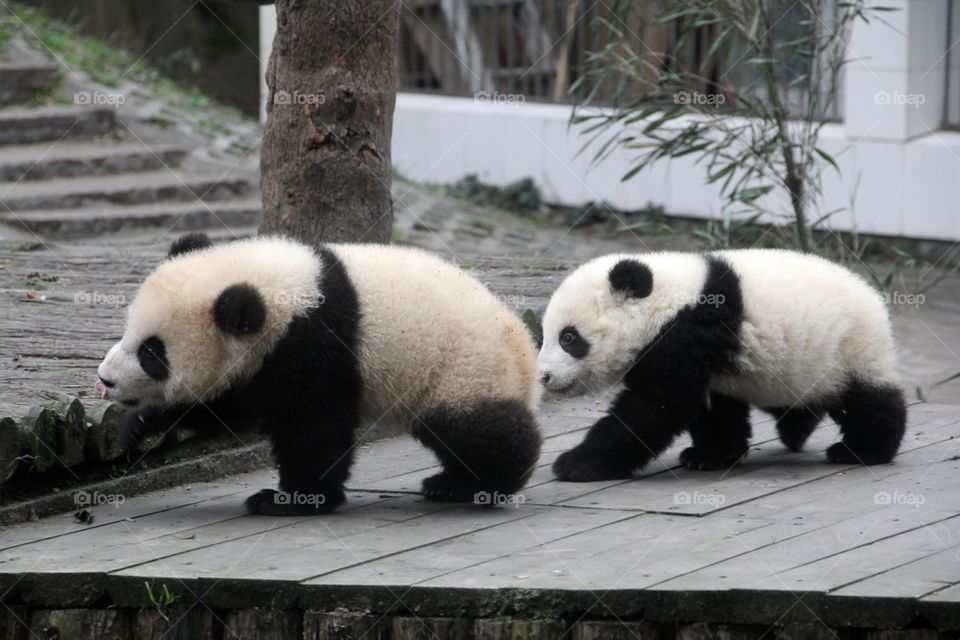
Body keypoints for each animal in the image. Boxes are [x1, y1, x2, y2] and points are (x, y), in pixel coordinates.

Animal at [96, 232, 542, 515]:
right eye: (129, 331)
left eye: (152, 353)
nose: (105, 379)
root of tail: (525, 348)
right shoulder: (260, 362)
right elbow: (228, 406)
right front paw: (140, 427)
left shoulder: (313, 343)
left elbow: (313, 428)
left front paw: (288, 501)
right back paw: (448, 481)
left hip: (464, 369)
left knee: (475, 429)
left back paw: (478, 485)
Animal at [537, 249, 906, 482]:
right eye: (546, 335)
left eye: (569, 338)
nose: (544, 376)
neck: (664, 302)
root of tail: (871, 293)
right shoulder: (707, 355)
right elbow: (713, 409)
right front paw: (712, 455)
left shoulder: (684, 333)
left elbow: (654, 408)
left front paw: (577, 464)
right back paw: (798, 429)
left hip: (850, 347)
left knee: (866, 400)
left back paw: (862, 449)